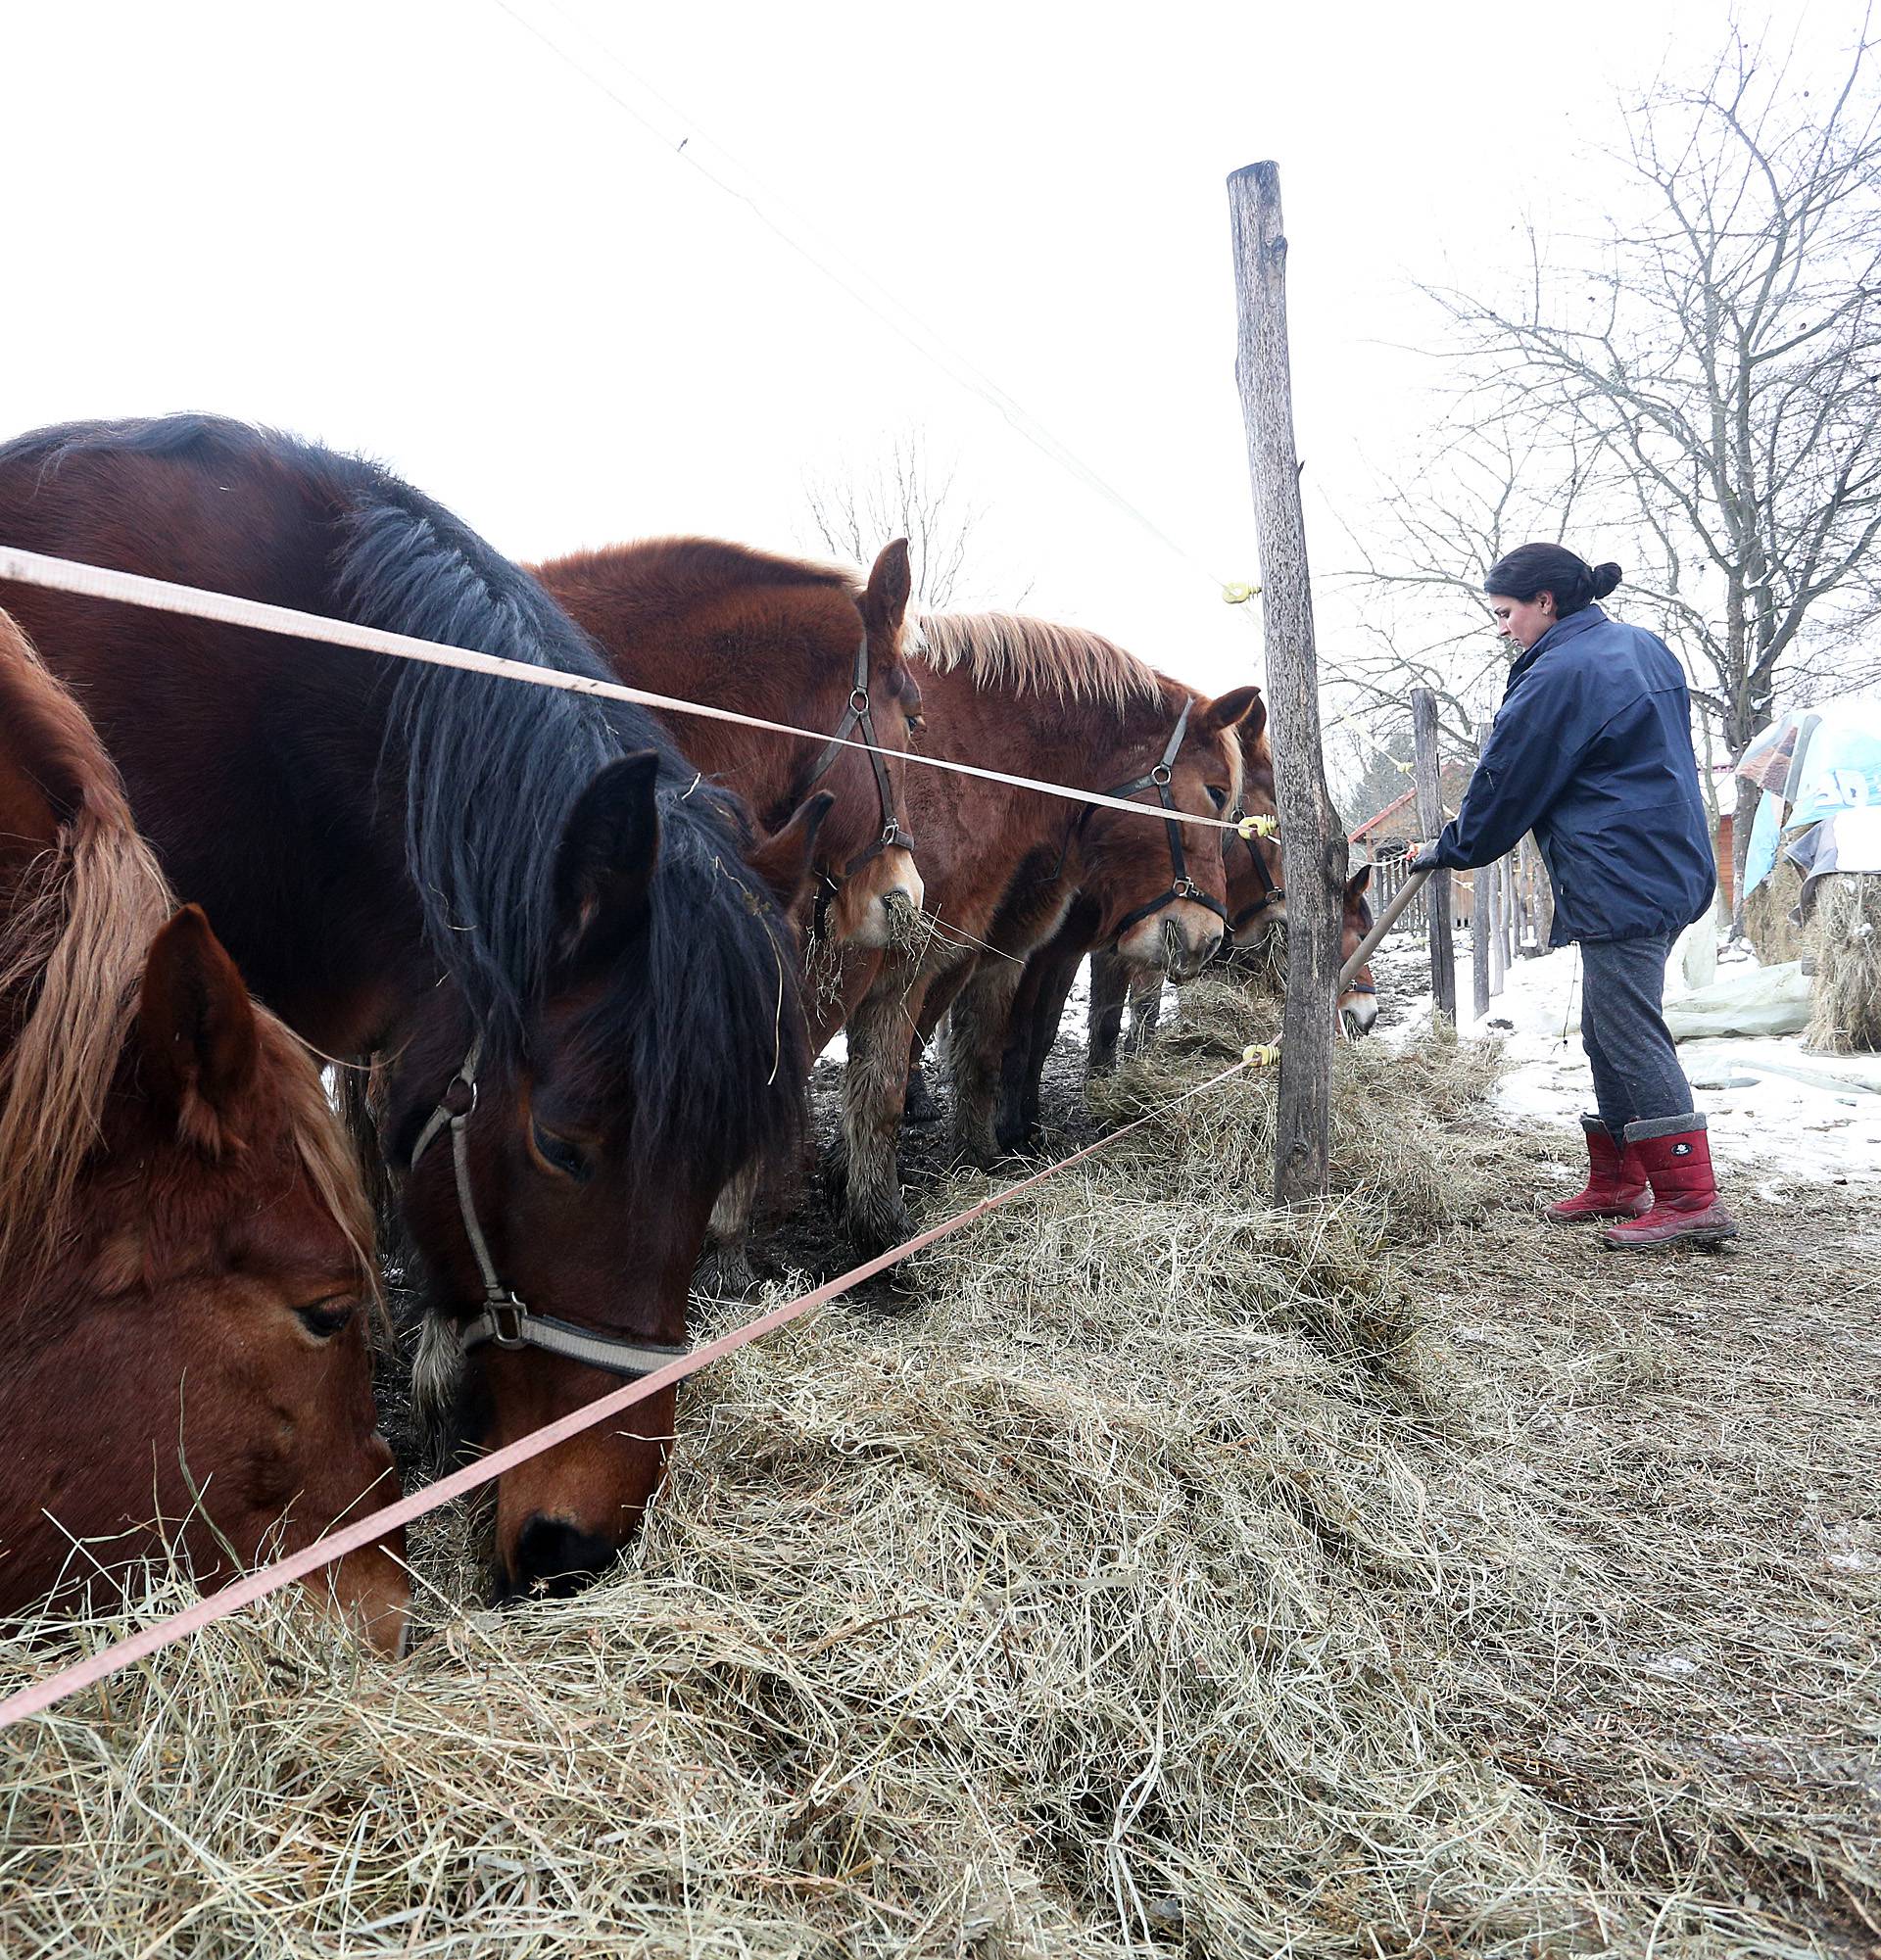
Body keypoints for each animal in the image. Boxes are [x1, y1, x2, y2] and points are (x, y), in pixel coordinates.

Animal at [839, 611, 1246, 1246]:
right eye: (1217, 792)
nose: (1206, 937)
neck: (957, 759)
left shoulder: (992, 951)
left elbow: (984, 1050)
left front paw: (981, 1157)